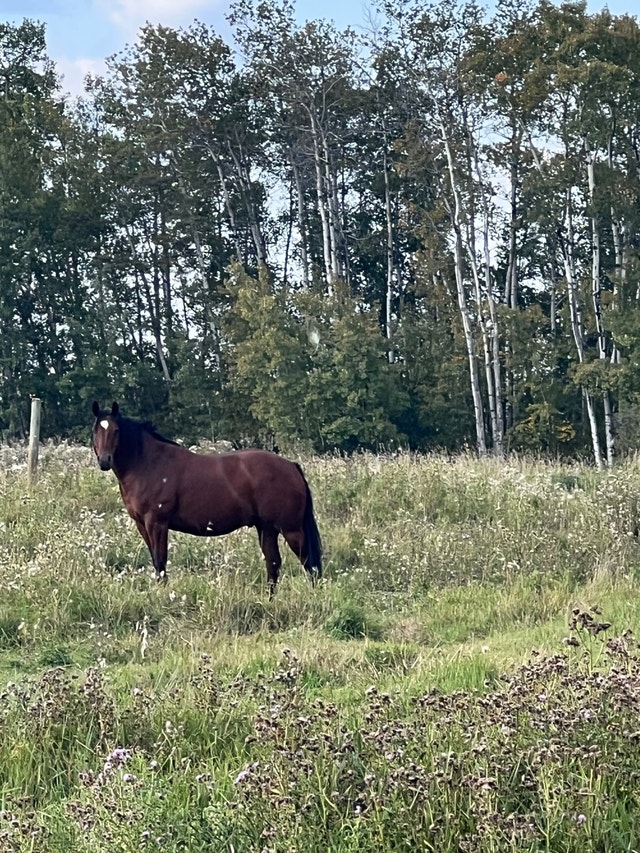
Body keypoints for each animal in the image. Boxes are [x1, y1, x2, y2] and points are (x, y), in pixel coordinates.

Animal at [91, 402, 322, 597]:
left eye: (116, 430)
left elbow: (160, 561)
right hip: (267, 528)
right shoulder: (142, 524)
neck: (148, 464)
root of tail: (291, 466)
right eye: (96, 430)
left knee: (309, 564)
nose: (105, 461)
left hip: (291, 529)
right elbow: (156, 562)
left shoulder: (157, 523)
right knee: (273, 563)